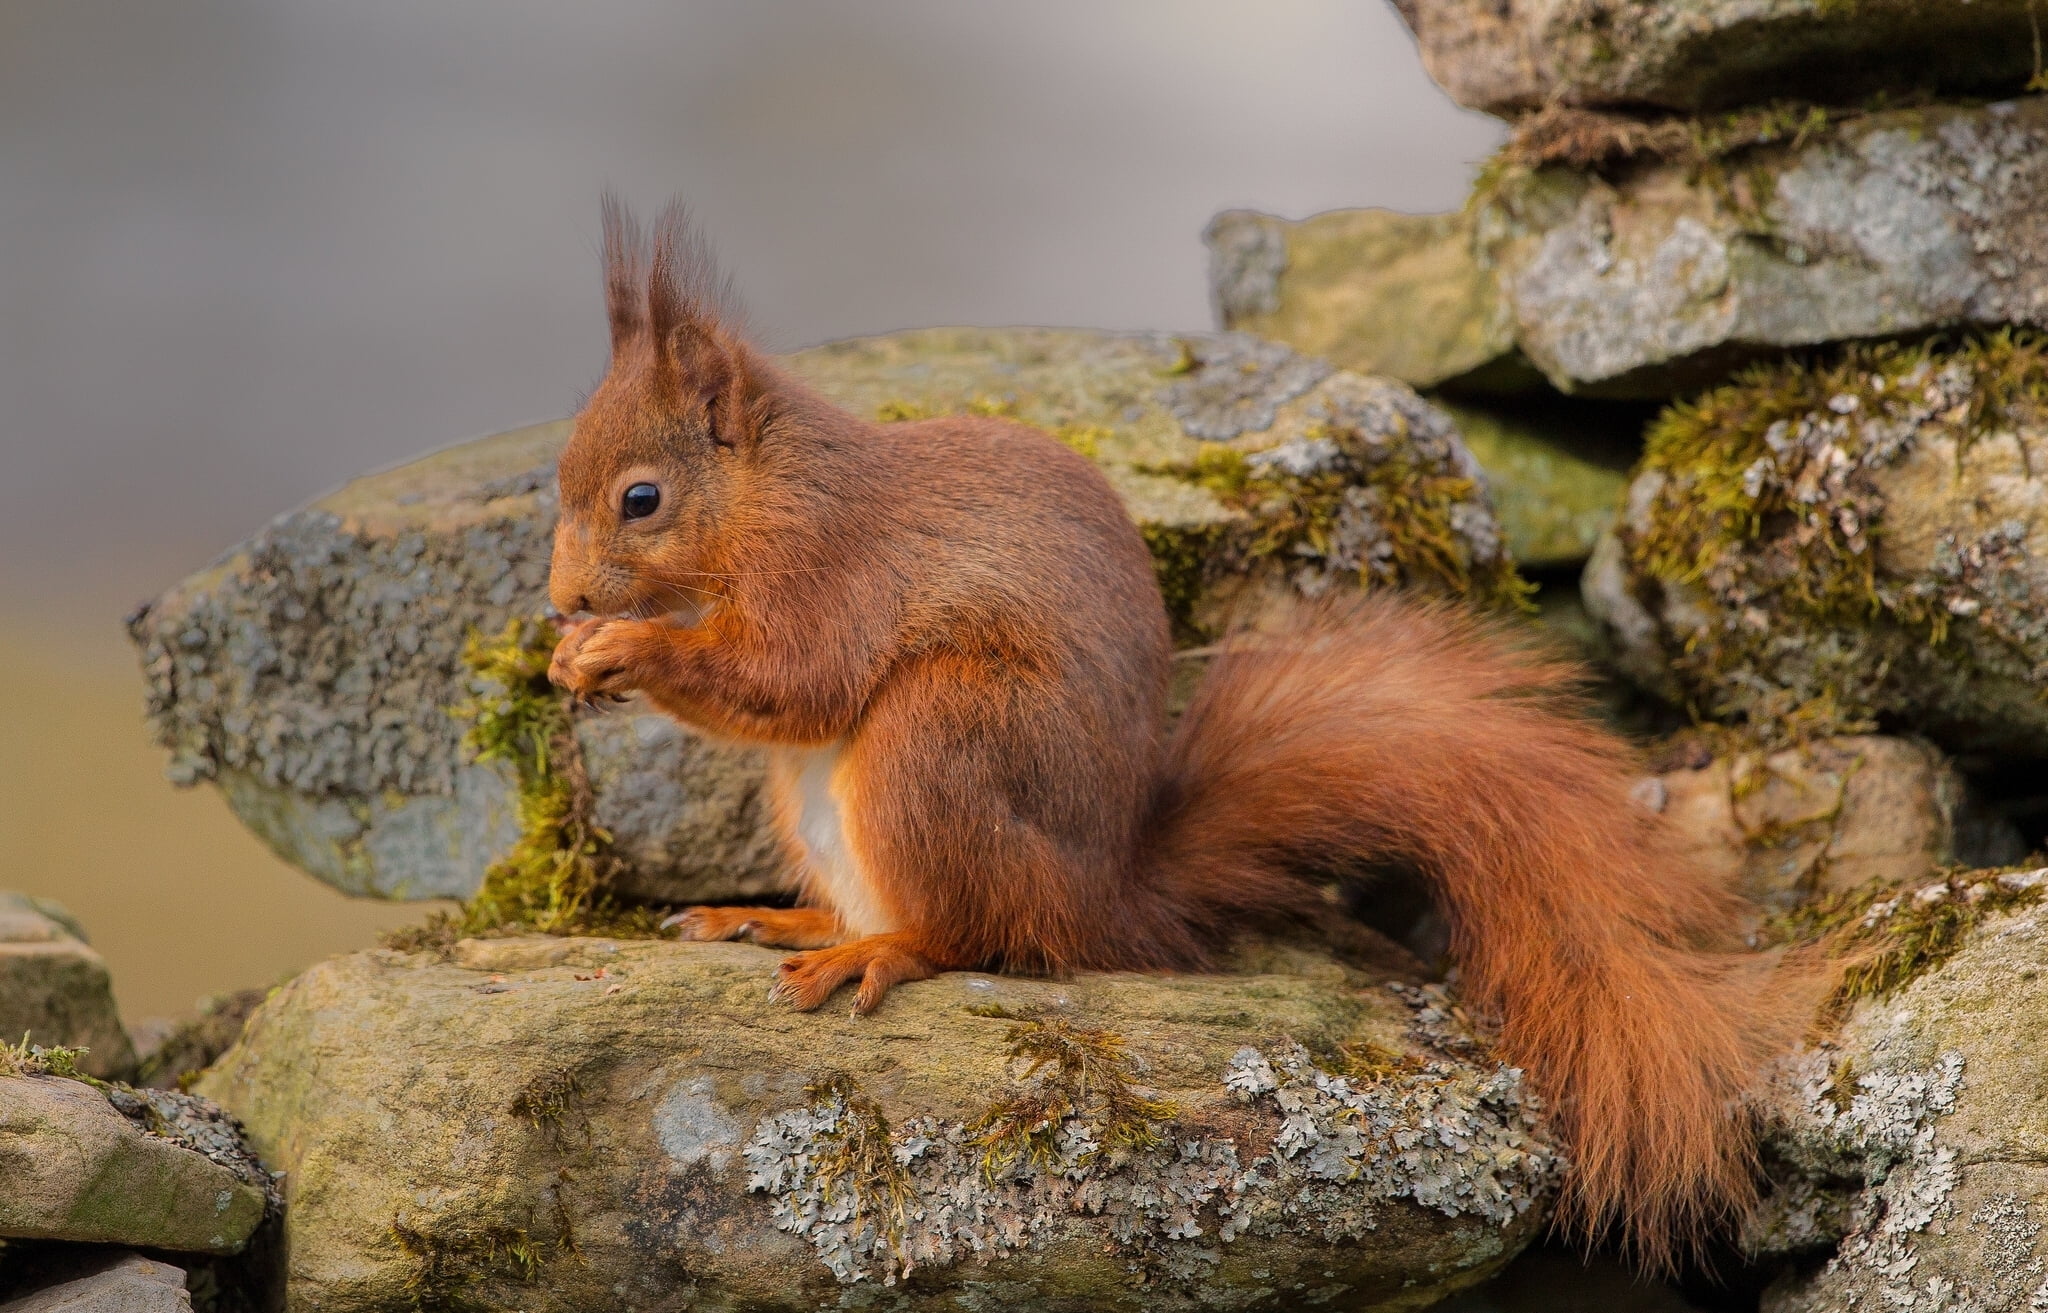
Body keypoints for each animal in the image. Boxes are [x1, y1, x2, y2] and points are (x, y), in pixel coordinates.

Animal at [545, 199, 1819, 1268]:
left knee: (970, 931)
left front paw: (624, 652)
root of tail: (1102, 892)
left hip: (937, 735)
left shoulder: (833, 573)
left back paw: (878, 949)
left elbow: (794, 678)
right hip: (817, 800)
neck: (765, 493)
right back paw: (774, 918)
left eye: (641, 498)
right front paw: (576, 658)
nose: (560, 602)